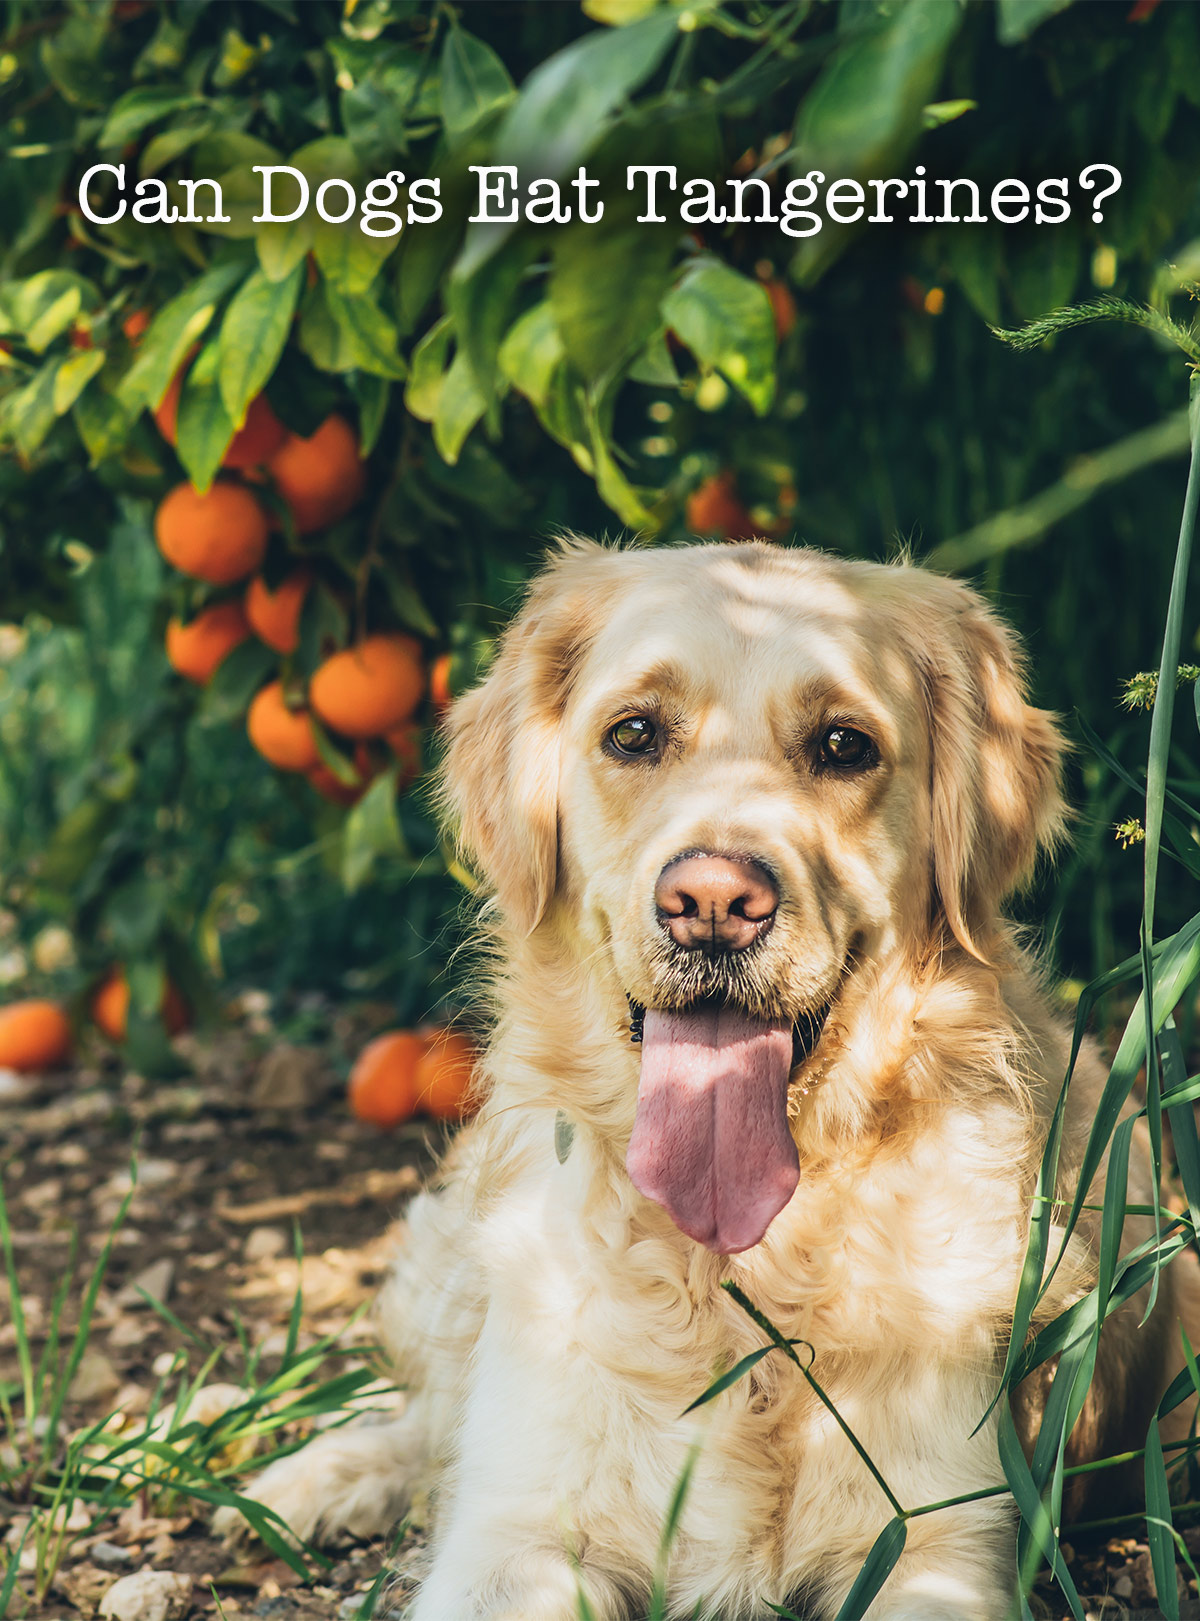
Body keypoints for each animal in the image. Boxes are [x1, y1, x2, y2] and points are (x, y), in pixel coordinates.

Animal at [220, 544, 1200, 1621]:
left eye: (844, 744)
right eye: (635, 732)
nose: (716, 903)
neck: (736, 1270)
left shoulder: (938, 1540)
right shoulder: (516, 1536)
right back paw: (312, 1476)